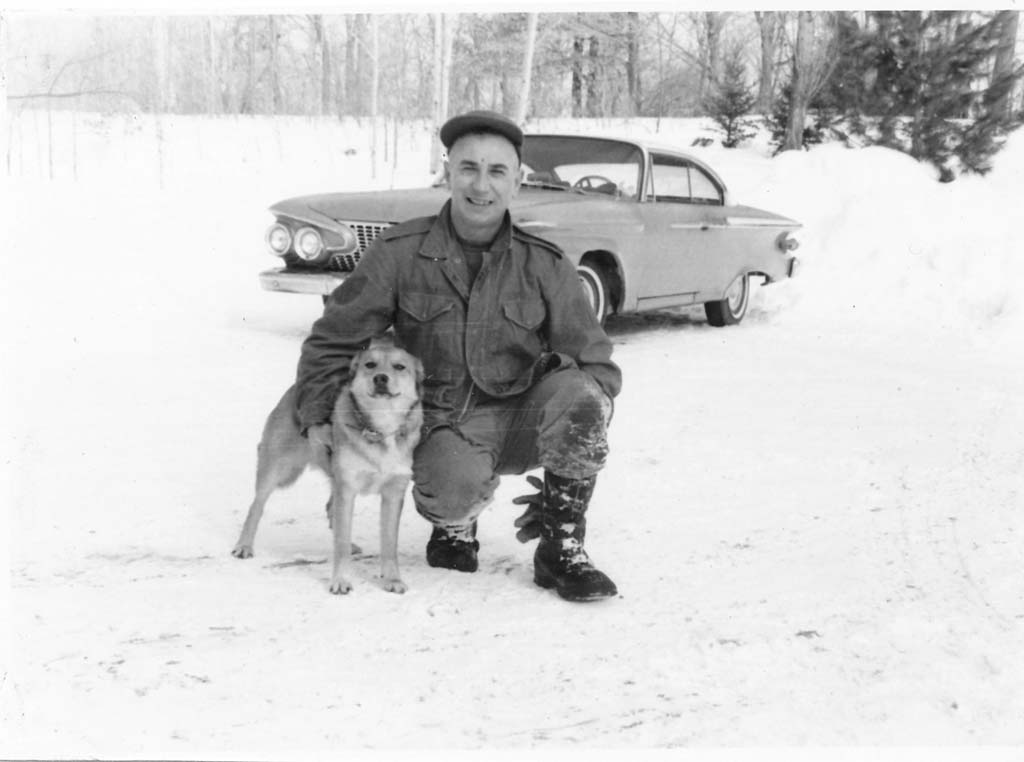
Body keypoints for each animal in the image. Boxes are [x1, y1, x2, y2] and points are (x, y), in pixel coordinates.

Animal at [233, 337, 423, 594]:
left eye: (399, 367)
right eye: (370, 365)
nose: (380, 378)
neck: (381, 428)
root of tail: (296, 387)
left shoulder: (393, 494)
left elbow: (389, 543)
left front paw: (392, 579)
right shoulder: (348, 489)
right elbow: (339, 544)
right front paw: (341, 580)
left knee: (331, 508)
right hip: (276, 469)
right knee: (257, 506)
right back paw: (244, 545)